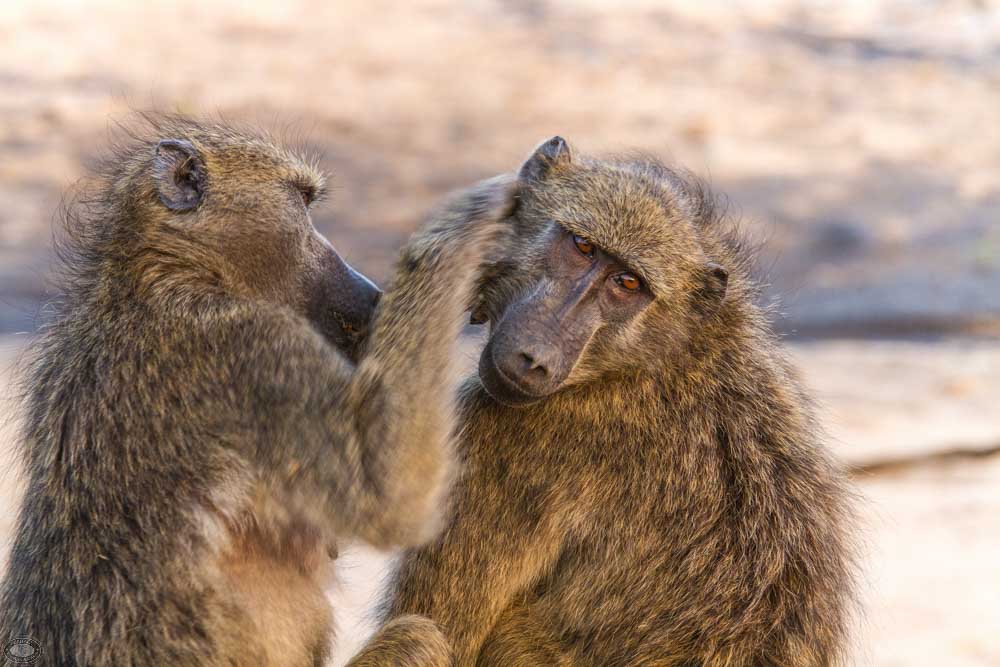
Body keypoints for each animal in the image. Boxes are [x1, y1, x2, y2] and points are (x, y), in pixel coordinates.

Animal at [0, 115, 515, 666]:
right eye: (303, 202)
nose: (371, 291)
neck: (168, 274)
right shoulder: (253, 352)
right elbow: (390, 497)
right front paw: (470, 219)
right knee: (419, 635)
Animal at [349, 137, 858, 666]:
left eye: (628, 284)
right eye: (583, 247)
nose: (534, 358)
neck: (665, 355)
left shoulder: (500, 433)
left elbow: (445, 630)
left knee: (419, 634)